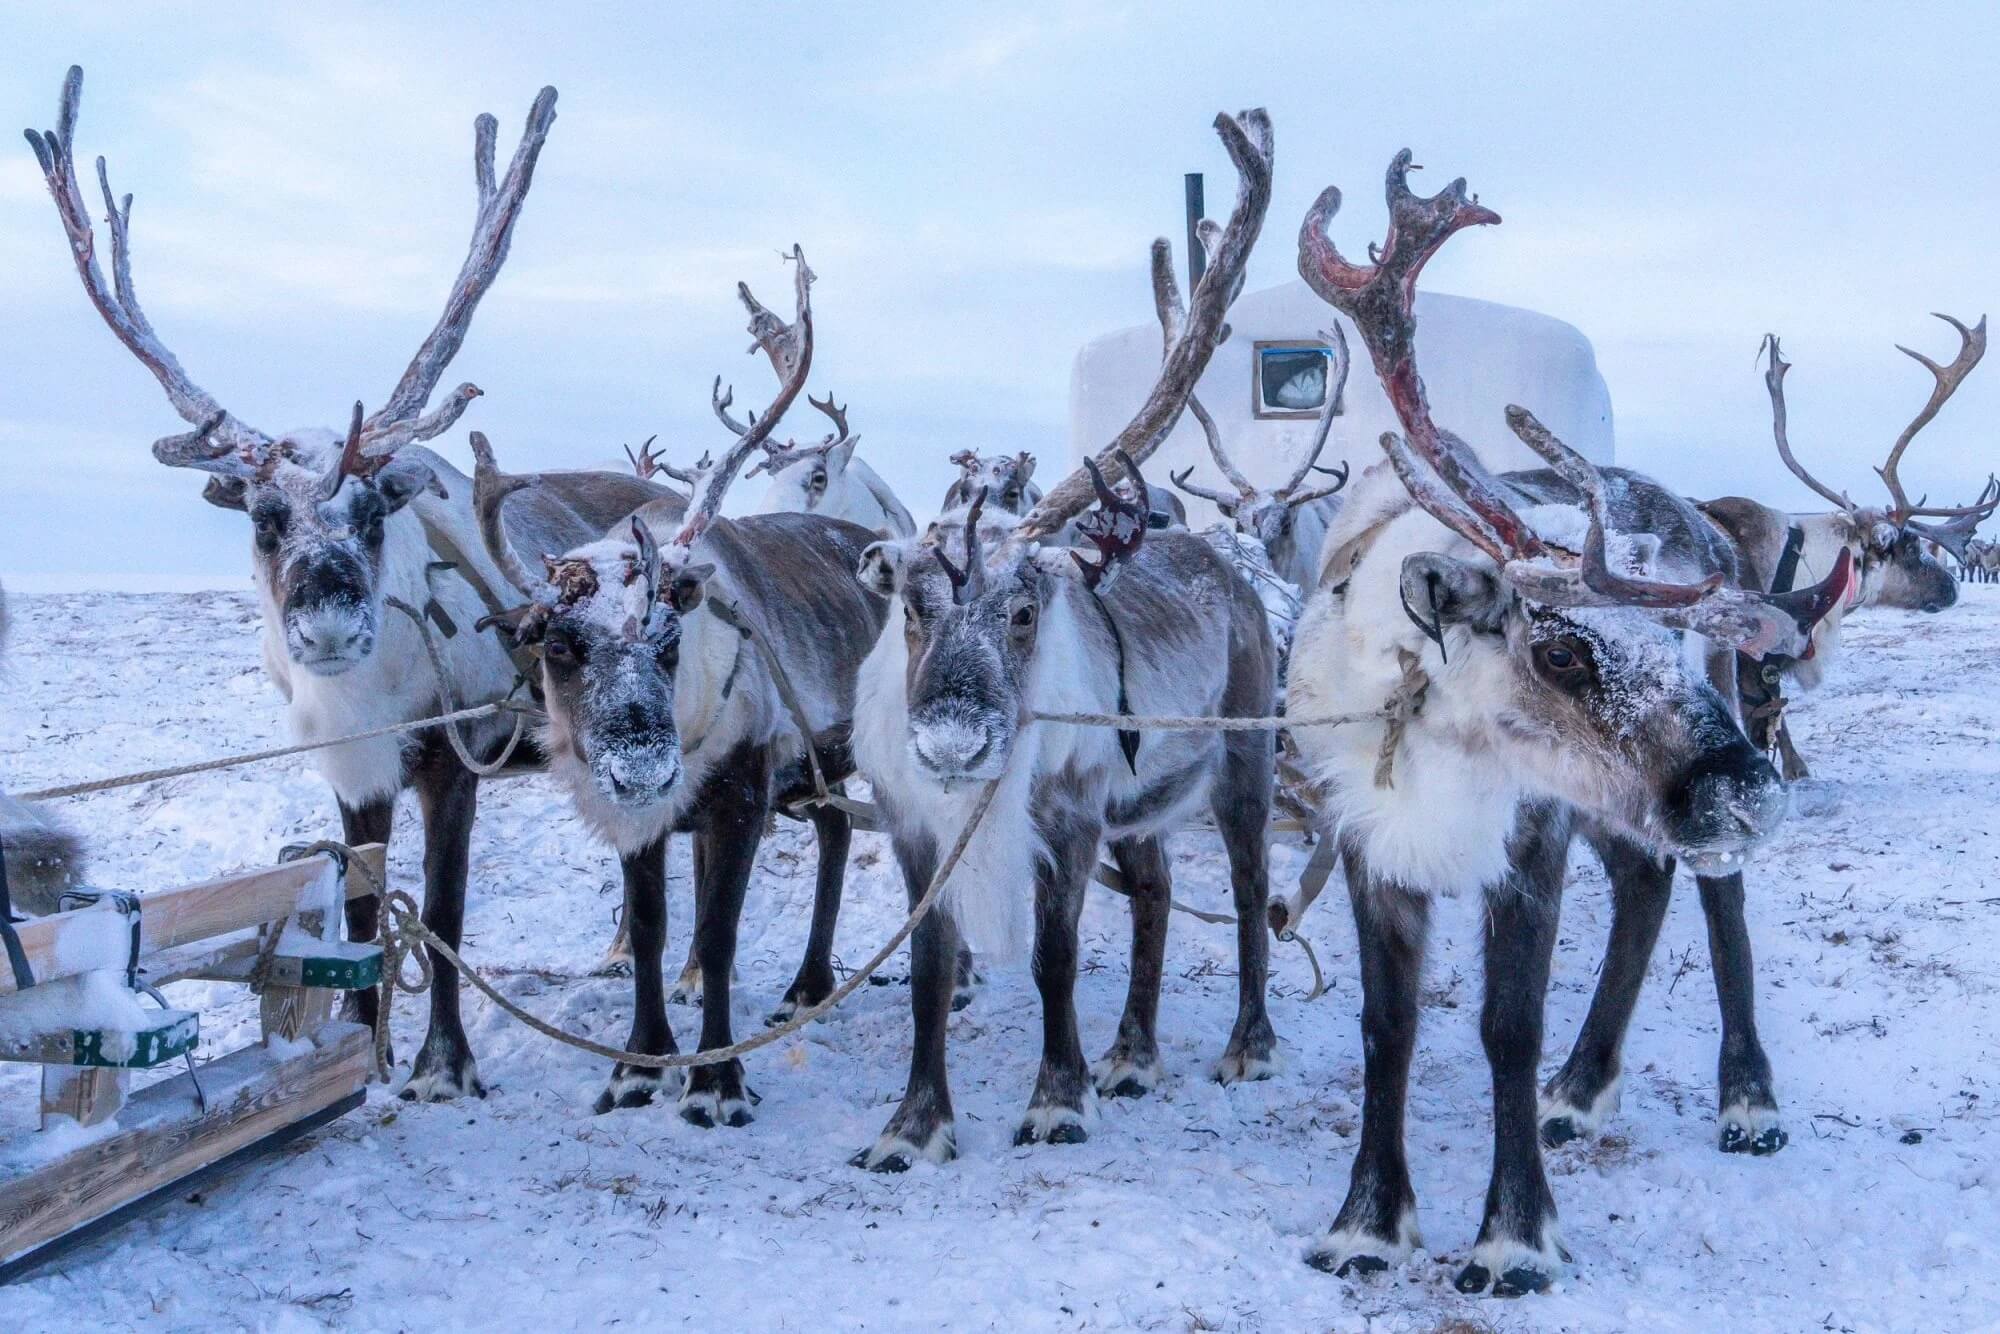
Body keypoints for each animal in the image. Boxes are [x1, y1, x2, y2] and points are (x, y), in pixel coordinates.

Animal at [23, 66, 677, 1100]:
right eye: (262, 517)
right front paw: (362, 1051)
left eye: (373, 511)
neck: (369, 696)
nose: (328, 626)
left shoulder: (454, 759)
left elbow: (443, 916)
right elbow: (366, 919)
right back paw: (617, 951)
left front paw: (444, 1065)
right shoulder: (353, 774)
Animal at [472, 248, 894, 1123]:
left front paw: (716, 1081)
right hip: (817, 768)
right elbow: (654, 926)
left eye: (669, 639)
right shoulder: (645, 818)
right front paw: (640, 1064)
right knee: (837, 834)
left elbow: (720, 931)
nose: (643, 768)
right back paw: (808, 985)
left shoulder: (742, 791)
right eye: (557, 643)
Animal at [845, 108, 1278, 1172]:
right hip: (1147, 797)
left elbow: (1053, 956)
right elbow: (930, 966)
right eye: (909, 606)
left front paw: (1055, 1099)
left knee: (1250, 888)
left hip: (1246, 761)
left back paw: (1246, 1045)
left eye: (1026, 608)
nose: (953, 744)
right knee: (1158, 891)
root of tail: (1231, 573)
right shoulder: (912, 824)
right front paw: (914, 1124)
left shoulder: (1073, 815)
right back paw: (1131, 1054)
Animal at [1283, 152, 1848, 1295]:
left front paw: (1512, 1236)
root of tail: (1696, 512)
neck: (1438, 728)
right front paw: (1367, 1223)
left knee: (1713, 899)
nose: (1748, 789)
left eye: (1671, 639)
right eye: (1557, 650)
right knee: (1645, 880)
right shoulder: (1367, 838)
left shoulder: (1529, 837)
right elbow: (1385, 1026)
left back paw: (1745, 1098)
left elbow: (1507, 1025)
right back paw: (1580, 1090)